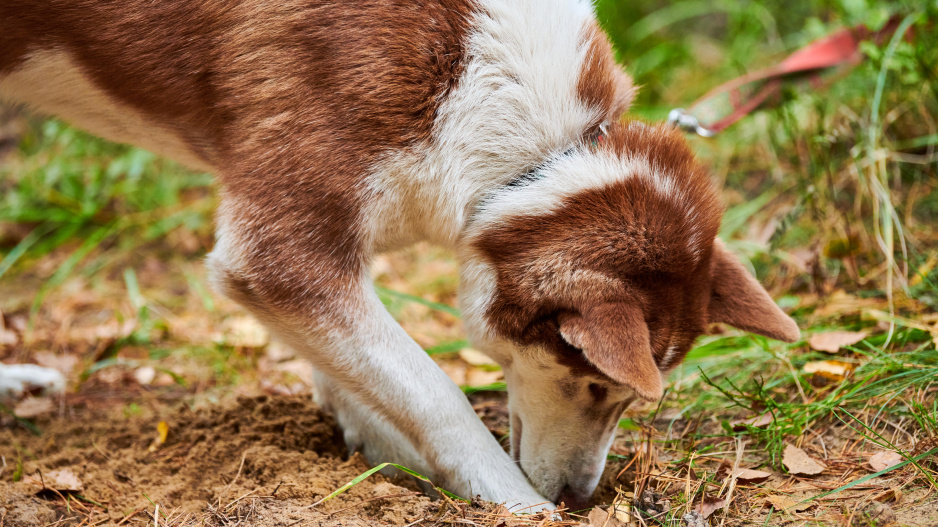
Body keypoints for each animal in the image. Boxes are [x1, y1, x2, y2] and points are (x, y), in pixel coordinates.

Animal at [1, 0, 796, 512]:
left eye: (622, 397)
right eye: (595, 384)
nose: (578, 498)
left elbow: (367, 371)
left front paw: (374, 445)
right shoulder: (278, 251)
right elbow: (433, 392)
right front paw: (510, 499)